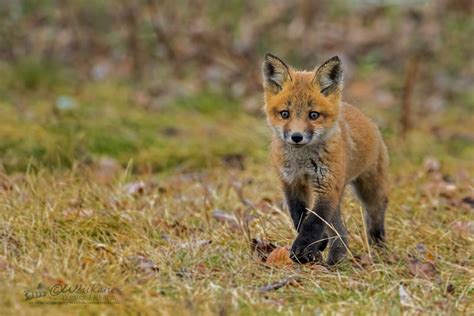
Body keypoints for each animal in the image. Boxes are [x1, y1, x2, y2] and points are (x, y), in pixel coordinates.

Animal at [262, 54, 388, 264]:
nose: (296, 137)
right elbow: (300, 218)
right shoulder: (291, 184)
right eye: (285, 114)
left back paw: (378, 244)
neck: (302, 162)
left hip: (369, 189)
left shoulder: (327, 186)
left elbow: (313, 221)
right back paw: (335, 260)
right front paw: (317, 244)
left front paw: (303, 248)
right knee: (341, 232)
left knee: (377, 212)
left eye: (313, 115)